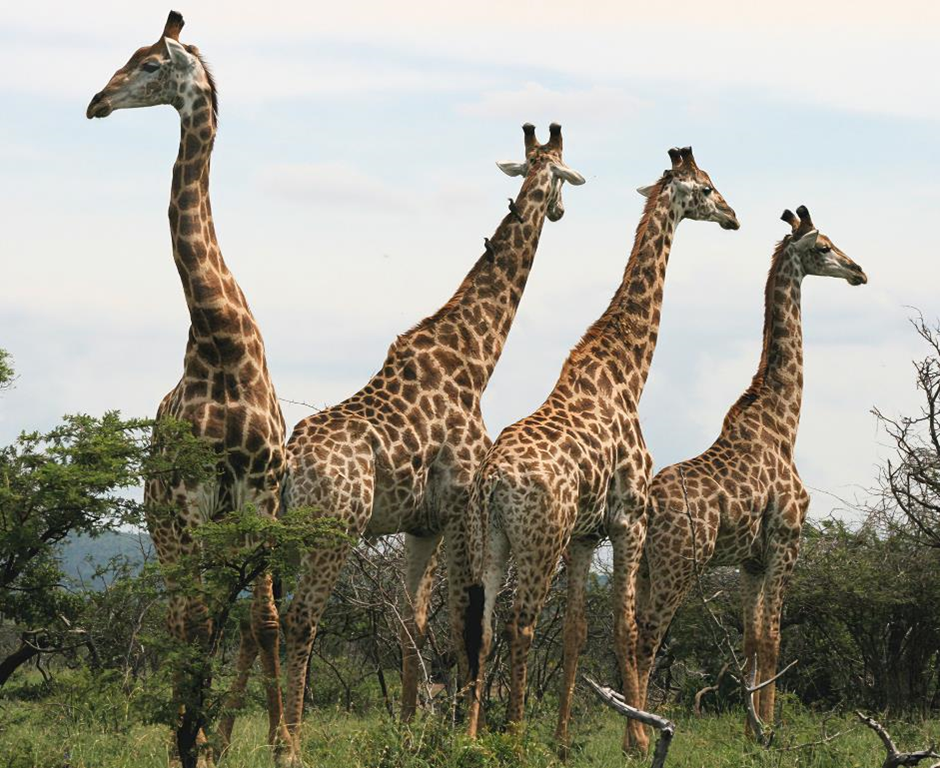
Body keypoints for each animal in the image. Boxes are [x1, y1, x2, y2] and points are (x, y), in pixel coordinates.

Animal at [86, 11, 290, 762]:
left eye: (149, 64)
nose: (96, 102)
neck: (223, 343)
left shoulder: (261, 497)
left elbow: (264, 621)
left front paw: (284, 744)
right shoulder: (191, 502)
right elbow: (198, 625)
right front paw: (190, 740)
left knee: (213, 619)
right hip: (166, 526)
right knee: (181, 618)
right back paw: (190, 736)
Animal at [276, 123, 584, 763]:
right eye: (564, 177)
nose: (562, 211)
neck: (475, 358)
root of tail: (291, 465)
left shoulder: (422, 524)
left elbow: (410, 623)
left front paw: (407, 729)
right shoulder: (462, 507)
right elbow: (464, 620)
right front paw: (456, 731)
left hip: (282, 533)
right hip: (333, 531)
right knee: (301, 620)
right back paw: (289, 746)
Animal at [466, 147, 740, 751]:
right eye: (708, 188)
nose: (735, 216)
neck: (627, 371)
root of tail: (494, 480)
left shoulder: (585, 535)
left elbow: (576, 630)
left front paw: (563, 738)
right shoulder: (629, 518)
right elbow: (627, 626)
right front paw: (640, 737)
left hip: (492, 537)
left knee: (487, 623)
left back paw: (470, 736)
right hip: (539, 537)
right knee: (521, 622)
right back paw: (512, 736)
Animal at [634, 206, 867, 739]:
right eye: (824, 247)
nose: (859, 271)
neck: (784, 423)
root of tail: (648, 505)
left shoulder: (750, 560)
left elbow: (751, 640)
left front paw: (750, 728)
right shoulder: (787, 539)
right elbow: (774, 640)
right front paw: (769, 732)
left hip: (641, 564)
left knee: (628, 631)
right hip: (680, 563)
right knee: (648, 637)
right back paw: (640, 735)